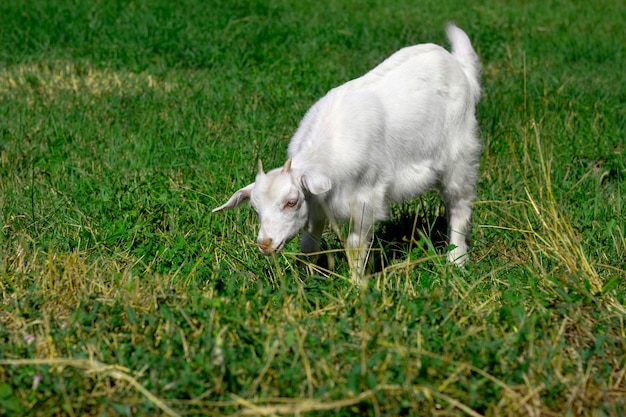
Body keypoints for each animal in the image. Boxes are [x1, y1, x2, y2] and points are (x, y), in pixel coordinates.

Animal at [212, 22, 480, 276]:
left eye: (291, 202)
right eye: (255, 208)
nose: (265, 244)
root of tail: (457, 64)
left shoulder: (365, 201)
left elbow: (355, 245)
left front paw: (357, 282)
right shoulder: (317, 205)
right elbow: (309, 245)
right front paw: (308, 279)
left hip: (459, 155)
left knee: (459, 205)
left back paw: (457, 261)